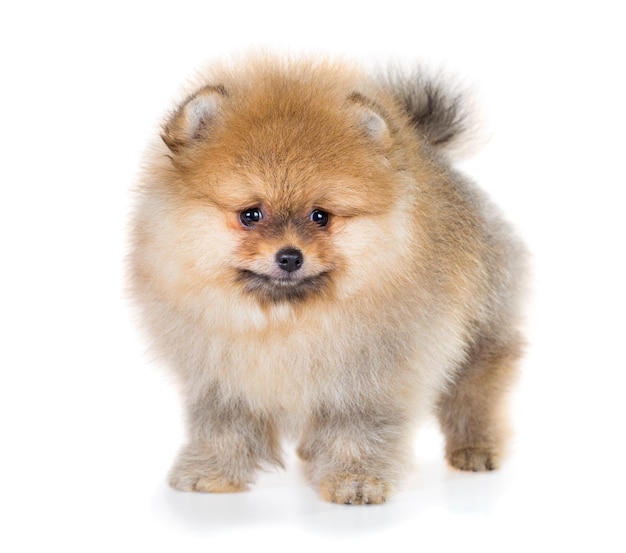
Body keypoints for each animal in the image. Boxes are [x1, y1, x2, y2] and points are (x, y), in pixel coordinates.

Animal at [130, 56, 528, 504]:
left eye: (320, 216)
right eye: (251, 214)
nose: (289, 256)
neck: (287, 320)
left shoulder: (368, 378)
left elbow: (357, 429)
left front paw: (356, 480)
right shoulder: (221, 380)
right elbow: (223, 428)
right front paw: (210, 473)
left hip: (483, 331)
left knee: (475, 391)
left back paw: (475, 448)